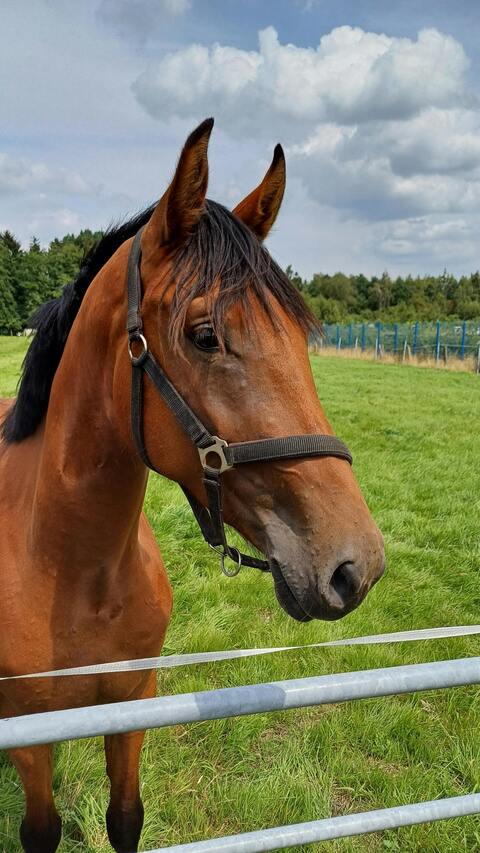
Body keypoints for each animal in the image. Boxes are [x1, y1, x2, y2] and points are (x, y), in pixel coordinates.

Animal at [0, 118, 385, 853]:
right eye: (206, 335)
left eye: (303, 336)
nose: (357, 566)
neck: (70, 568)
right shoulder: (32, 733)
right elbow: (42, 828)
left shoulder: (134, 703)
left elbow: (126, 818)